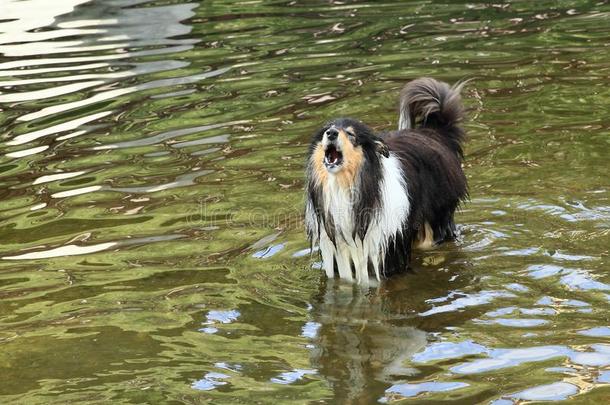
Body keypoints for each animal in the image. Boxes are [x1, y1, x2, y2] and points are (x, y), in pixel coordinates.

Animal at [302, 77, 466, 282]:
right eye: (327, 129)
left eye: (351, 134)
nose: (331, 133)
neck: (344, 185)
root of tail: (436, 133)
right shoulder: (337, 251)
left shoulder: (387, 246)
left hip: (435, 219)